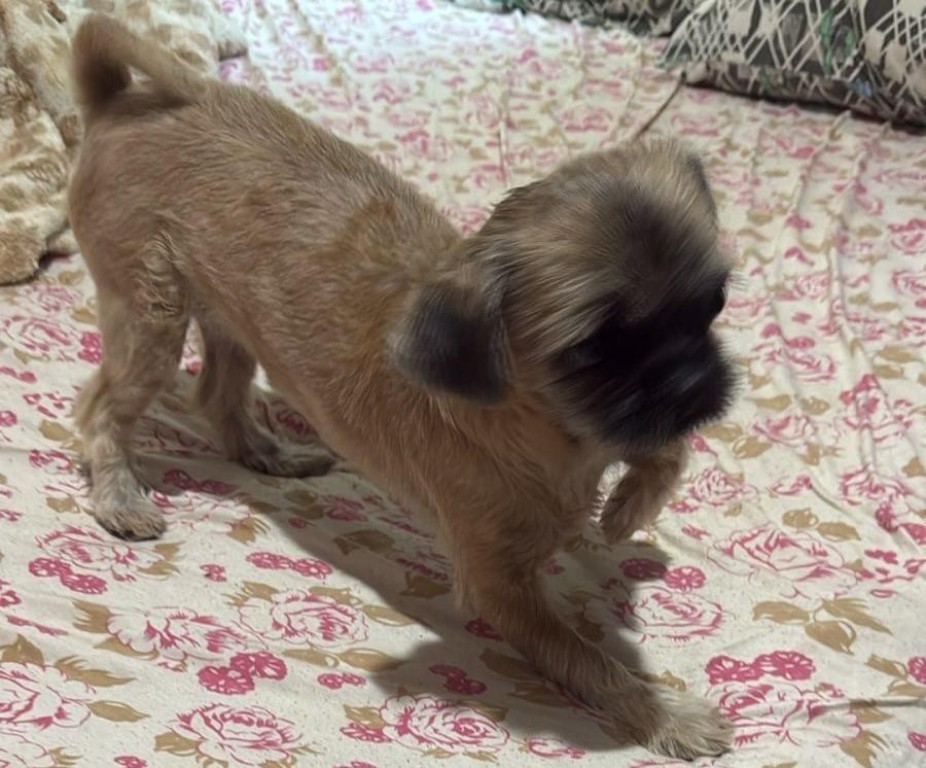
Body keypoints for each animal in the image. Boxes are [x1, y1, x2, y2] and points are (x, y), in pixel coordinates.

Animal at [69, 14, 735, 759]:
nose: (692, 379)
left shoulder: (635, 423)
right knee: (101, 408)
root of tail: (117, 103)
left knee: (216, 397)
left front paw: (625, 512)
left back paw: (270, 453)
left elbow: (667, 448)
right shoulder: (502, 587)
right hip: (150, 315)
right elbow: (590, 660)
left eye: (713, 303)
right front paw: (666, 716)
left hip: (228, 318)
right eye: (593, 351)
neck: (559, 436)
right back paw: (120, 494)